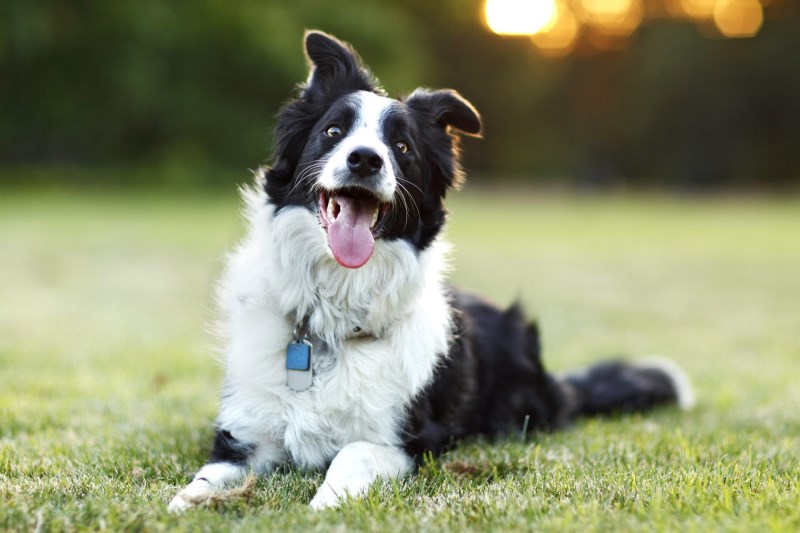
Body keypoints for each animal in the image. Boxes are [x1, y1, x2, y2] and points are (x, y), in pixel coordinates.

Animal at [170, 30, 692, 512]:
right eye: (333, 132)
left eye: (401, 146)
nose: (365, 159)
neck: (333, 321)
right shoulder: (244, 434)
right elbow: (209, 475)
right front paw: (187, 502)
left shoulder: (412, 442)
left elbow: (354, 451)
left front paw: (325, 502)